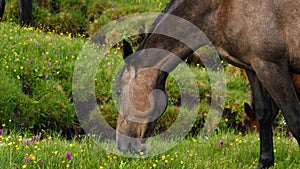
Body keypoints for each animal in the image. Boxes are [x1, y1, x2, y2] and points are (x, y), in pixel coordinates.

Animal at [116, 0, 300, 168]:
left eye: (118, 91)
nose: (122, 147)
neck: (223, 9)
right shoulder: (253, 67)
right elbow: (264, 113)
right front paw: (265, 162)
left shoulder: (271, 66)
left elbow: (293, 118)